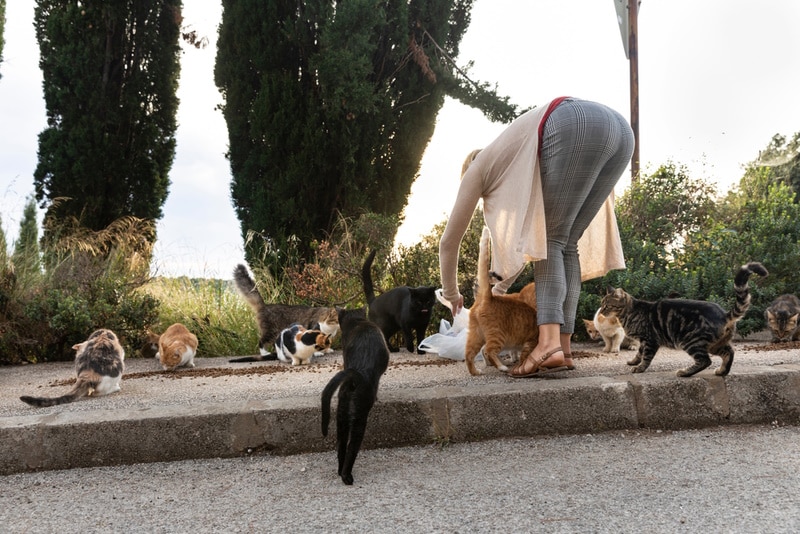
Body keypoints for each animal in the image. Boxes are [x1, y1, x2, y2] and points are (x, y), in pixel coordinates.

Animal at [322, 306, 390, 486]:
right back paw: (347, 476)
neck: (357, 321)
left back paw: (340, 471)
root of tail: (356, 373)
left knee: (341, 445)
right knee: (352, 446)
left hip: (341, 416)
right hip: (359, 417)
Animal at [460, 229, 548, 376]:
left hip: (476, 335)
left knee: (469, 354)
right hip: (497, 335)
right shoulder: (530, 342)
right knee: (488, 351)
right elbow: (524, 355)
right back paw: (502, 366)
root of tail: (488, 297)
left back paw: (476, 372)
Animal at [600, 262, 768, 378]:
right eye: (602, 304)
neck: (629, 313)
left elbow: (646, 357)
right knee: (729, 353)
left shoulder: (650, 340)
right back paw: (722, 371)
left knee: (705, 361)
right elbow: (639, 353)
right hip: (714, 344)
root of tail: (724, 314)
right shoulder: (644, 341)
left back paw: (685, 372)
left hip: (691, 341)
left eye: (607, 305)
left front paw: (639, 368)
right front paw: (634, 361)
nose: (601, 311)